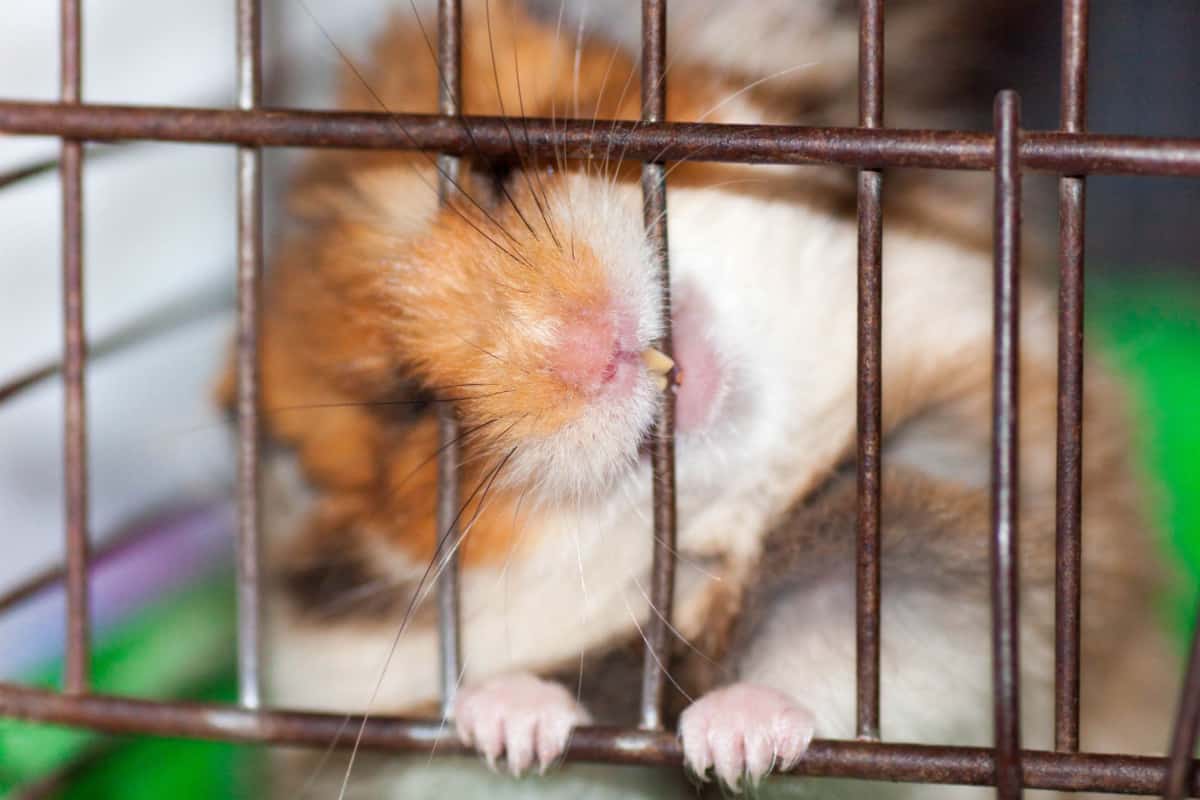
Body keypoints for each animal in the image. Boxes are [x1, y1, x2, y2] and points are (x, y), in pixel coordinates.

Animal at [223, 1, 1177, 796]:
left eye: (497, 174)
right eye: (418, 407)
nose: (589, 348)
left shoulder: (969, 535)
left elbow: (842, 653)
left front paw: (732, 740)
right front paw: (508, 726)